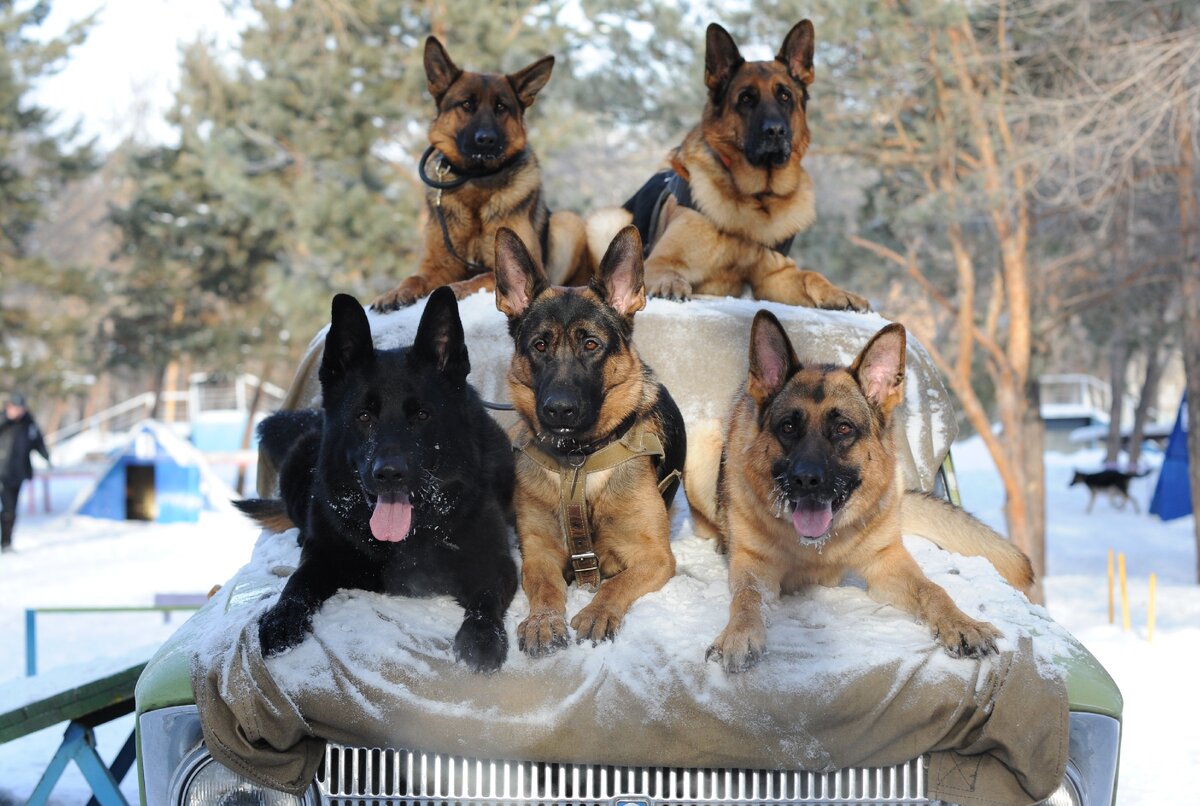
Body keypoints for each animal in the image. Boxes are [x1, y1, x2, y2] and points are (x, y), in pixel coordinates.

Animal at [234, 290, 516, 671]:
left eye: (422, 415)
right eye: (364, 416)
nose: (389, 474)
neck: (407, 537)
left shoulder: (495, 563)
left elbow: (485, 598)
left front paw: (481, 637)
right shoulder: (322, 556)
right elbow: (297, 582)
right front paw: (281, 618)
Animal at [369, 37, 585, 311]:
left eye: (501, 107)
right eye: (467, 104)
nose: (486, 140)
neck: (476, 180)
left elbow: (480, 277)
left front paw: (455, 288)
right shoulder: (437, 265)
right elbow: (414, 277)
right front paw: (395, 292)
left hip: (567, 221)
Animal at [492, 225, 686, 652]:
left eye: (591, 344)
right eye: (540, 345)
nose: (559, 410)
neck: (578, 461)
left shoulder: (654, 558)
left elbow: (615, 584)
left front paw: (598, 612)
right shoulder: (539, 555)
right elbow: (546, 589)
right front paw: (543, 621)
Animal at [585, 21, 868, 311]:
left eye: (785, 96)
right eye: (746, 99)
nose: (776, 131)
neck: (755, 199)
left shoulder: (776, 277)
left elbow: (811, 275)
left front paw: (838, 292)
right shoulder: (660, 261)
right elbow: (668, 271)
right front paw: (669, 284)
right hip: (606, 221)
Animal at [700, 314, 1036, 671]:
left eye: (843, 428)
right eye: (788, 427)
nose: (806, 480)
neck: (818, 549)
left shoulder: (888, 564)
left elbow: (933, 589)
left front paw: (961, 623)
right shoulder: (754, 568)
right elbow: (746, 598)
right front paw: (739, 633)